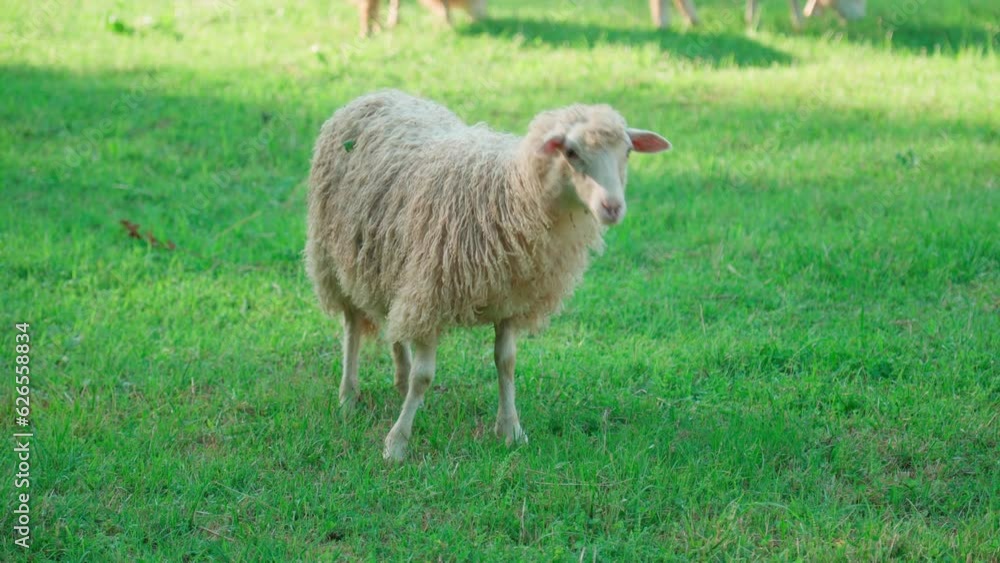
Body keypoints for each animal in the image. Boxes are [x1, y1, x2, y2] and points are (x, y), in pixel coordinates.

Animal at [305, 90, 670, 461]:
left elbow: (505, 362)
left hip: (387, 260)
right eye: (571, 152)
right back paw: (348, 396)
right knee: (352, 325)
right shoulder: (431, 291)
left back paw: (399, 377)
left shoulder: (510, 297)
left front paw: (511, 430)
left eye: (627, 151)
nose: (613, 207)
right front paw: (397, 444)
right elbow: (425, 377)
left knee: (392, 319)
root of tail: (378, 93)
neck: (513, 196)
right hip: (333, 257)